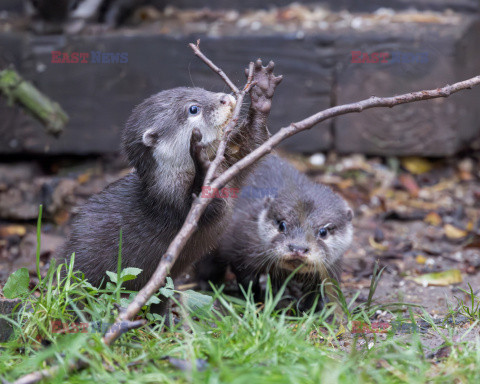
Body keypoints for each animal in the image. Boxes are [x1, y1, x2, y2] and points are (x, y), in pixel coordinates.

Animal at [56, 60, 284, 316]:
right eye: (193, 109)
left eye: (202, 90)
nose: (225, 98)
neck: (174, 176)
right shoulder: (170, 200)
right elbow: (201, 208)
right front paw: (201, 162)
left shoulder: (231, 164)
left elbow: (252, 143)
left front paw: (261, 91)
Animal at [195, 154, 352, 314]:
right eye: (282, 225)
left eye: (323, 232)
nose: (298, 248)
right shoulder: (242, 252)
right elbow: (247, 282)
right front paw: (257, 302)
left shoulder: (331, 269)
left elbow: (318, 292)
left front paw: (311, 311)